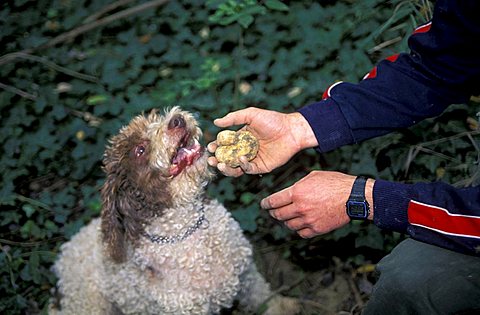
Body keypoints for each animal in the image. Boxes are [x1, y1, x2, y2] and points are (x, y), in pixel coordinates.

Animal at [49, 108, 296, 315]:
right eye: (140, 150)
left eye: (155, 117)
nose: (176, 120)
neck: (185, 227)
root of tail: (62, 257)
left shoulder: (246, 275)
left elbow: (262, 295)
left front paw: (283, 306)